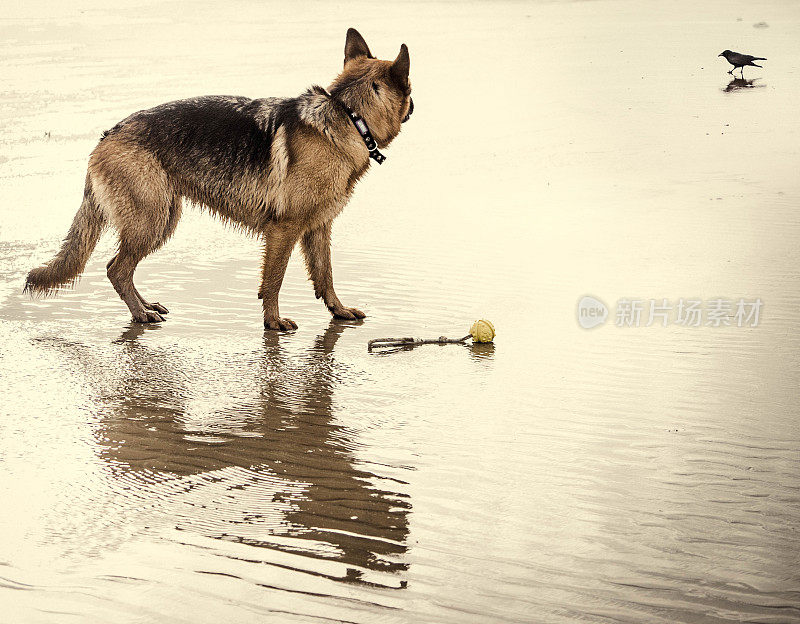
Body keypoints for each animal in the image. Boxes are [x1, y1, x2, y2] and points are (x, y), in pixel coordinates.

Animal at [25, 28, 412, 332]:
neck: (348, 116)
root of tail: (107, 135)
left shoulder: (318, 228)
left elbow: (326, 275)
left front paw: (338, 311)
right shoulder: (283, 231)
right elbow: (273, 280)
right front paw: (273, 321)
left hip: (164, 219)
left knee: (121, 269)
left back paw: (146, 305)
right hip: (150, 223)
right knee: (116, 269)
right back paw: (140, 314)